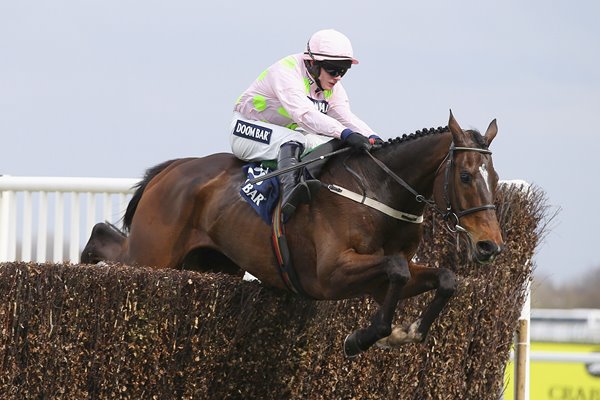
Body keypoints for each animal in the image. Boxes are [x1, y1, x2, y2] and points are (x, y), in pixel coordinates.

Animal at [79, 111, 502, 356]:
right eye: (466, 176)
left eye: (495, 178)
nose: (490, 245)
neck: (378, 191)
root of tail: (174, 168)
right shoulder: (330, 275)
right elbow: (396, 270)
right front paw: (364, 337)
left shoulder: (377, 280)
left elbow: (444, 278)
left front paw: (406, 332)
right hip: (153, 255)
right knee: (109, 242)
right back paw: (84, 262)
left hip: (209, 264)